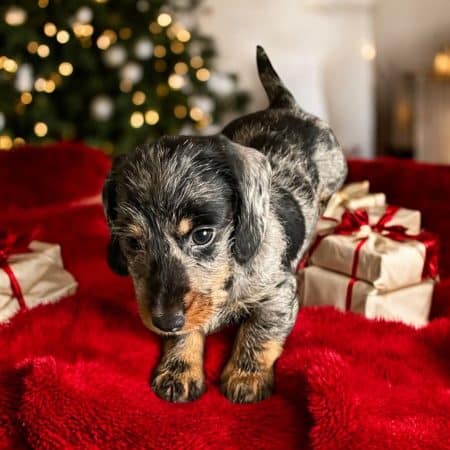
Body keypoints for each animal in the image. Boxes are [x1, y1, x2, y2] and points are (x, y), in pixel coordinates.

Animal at [103, 46, 348, 404]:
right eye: (133, 243)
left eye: (203, 235)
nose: (165, 321)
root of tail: (286, 105)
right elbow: (186, 333)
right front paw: (179, 369)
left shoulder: (278, 294)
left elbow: (258, 332)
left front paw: (246, 376)